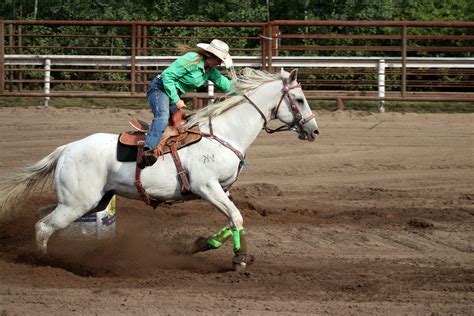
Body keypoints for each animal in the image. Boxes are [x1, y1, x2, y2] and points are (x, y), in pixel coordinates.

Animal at [0, 68, 320, 270]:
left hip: (91, 202)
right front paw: (239, 259)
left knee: (46, 222)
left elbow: (232, 220)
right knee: (43, 227)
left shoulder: (222, 189)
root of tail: (67, 148)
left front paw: (204, 244)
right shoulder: (207, 187)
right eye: (300, 99)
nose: (314, 130)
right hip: (76, 203)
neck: (224, 133)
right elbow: (237, 217)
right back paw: (46, 262)